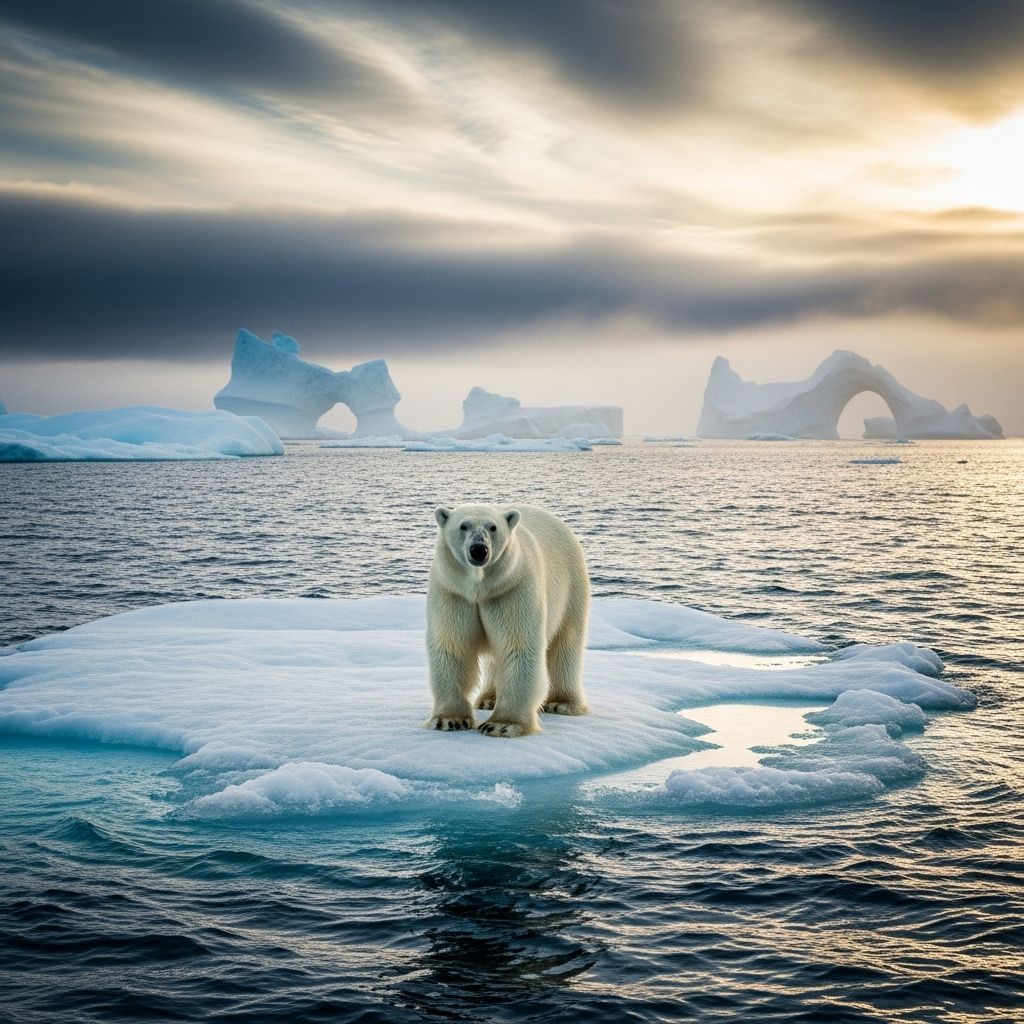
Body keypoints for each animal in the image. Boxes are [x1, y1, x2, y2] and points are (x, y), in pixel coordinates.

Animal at [425, 503, 590, 738]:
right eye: (463, 526)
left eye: (493, 527)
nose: (479, 550)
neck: (480, 587)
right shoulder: (454, 592)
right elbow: (453, 646)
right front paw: (449, 720)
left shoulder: (511, 588)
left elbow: (517, 645)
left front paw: (502, 725)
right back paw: (488, 699)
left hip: (571, 586)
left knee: (566, 642)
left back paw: (562, 703)